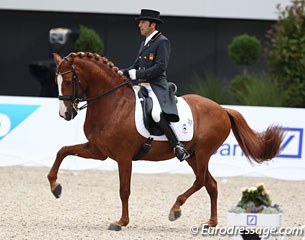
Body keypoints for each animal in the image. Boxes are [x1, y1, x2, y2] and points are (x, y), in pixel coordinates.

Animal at [47, 52, 282, 231]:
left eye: (68, 81)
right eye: (55, 81)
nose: (65, 114)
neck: (114, 104)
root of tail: (222, 109)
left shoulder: (123, 157)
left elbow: (124, 190)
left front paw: (121, 222)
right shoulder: (98, 150)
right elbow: (62, 151)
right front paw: (55, 187)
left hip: (203, 153)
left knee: (200, 181)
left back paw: (176, 208)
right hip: (193, 155)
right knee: (211, 184)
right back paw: (210, 222)